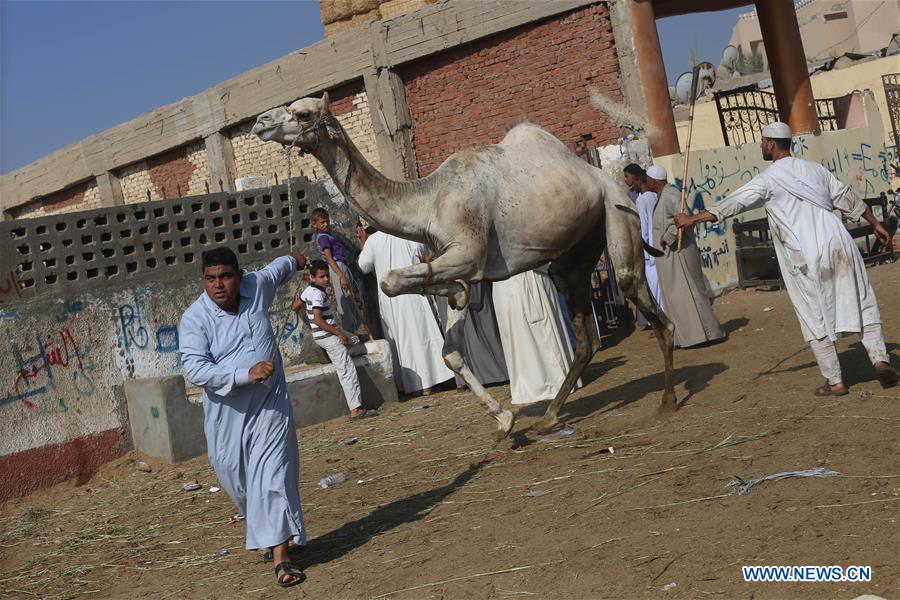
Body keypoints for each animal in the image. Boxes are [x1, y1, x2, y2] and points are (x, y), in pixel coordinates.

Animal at [252, 93, 676, 437]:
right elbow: (450, 349)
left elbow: (390, 280)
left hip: (616, 211)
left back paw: (667, 402)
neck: (428, 200)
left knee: (641, 296)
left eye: (303, 113)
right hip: (576, 249)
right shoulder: (459, 261)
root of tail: (601, 175)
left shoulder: (466, 251)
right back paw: (549, 416)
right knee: (584, 332)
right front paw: (505, 419)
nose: (260, 121)